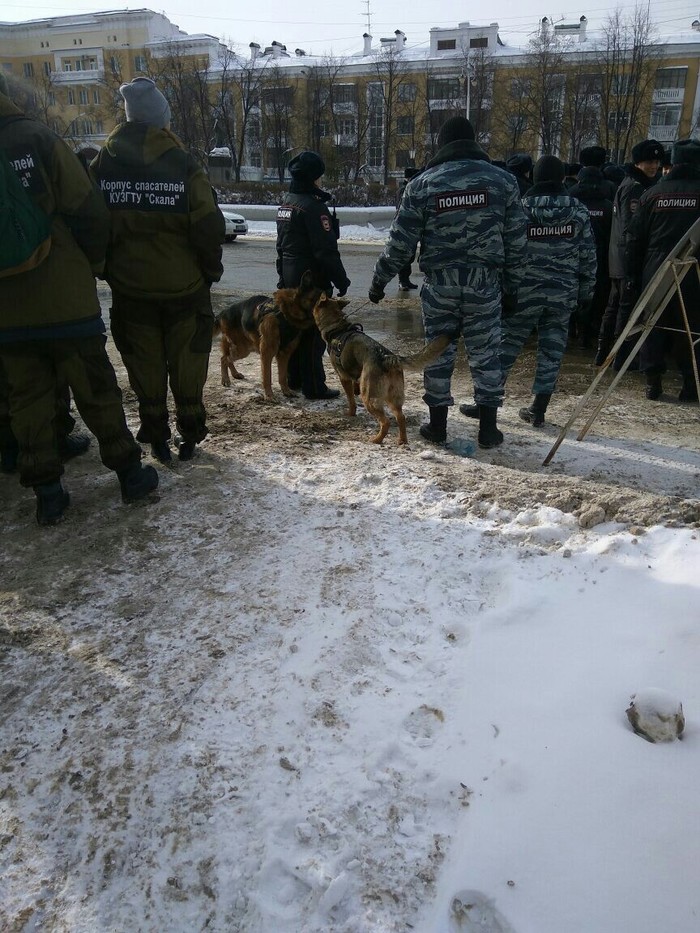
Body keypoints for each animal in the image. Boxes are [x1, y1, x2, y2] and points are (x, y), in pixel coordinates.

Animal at [213, 270, 322, 400]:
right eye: (319, 300)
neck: (287, 313)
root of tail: (222, 313)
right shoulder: (267, 352)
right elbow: (267, 376)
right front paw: (269, 395)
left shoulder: (284, 354)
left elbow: (282, 376)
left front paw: (286, 391)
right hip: (242, 349)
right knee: (224, 358)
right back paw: (225, 379)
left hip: (244, 349)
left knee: (227, 358)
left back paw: (235, 374)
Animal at [312, 294, 448, 448]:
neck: (337, 327)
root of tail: (388, 357)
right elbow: (355, 387)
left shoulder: (344, 377)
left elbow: (351, 400)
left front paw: (351, 413)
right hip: (394, 398)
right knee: (401, 417)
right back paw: (402, 441)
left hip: (369, 398)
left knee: (386, 421)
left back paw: (377, 440)